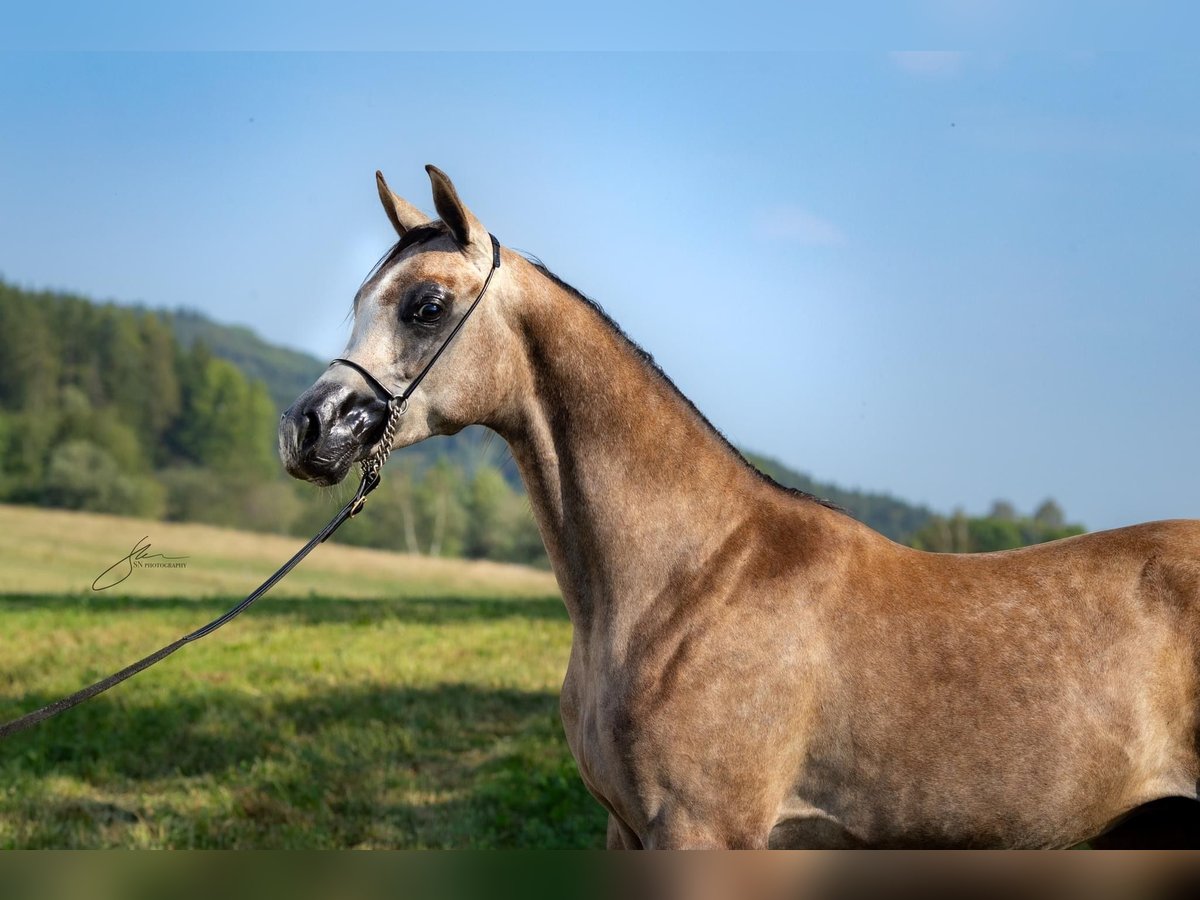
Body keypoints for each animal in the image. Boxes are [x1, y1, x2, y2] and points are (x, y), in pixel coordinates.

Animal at [278, 165, 1200, 849]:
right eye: (359, 302)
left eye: (426, 305)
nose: (305, 428)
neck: (687, 578)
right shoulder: (627, 831)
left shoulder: (703, 830)